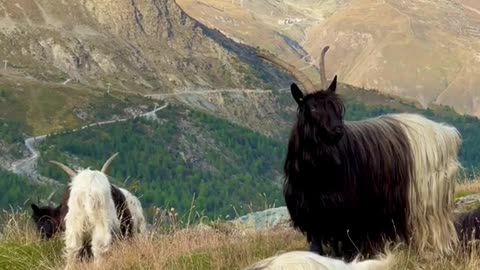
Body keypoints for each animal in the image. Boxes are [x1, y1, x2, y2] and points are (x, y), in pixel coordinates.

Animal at [256, 46, 464, 260]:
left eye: (336, 105)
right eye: (312, 107)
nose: (337, 130)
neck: (316, 174)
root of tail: (446, 133)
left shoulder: (348, 213)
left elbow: (348, 246)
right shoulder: (313, 215)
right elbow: (317, 247)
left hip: (427, 199)